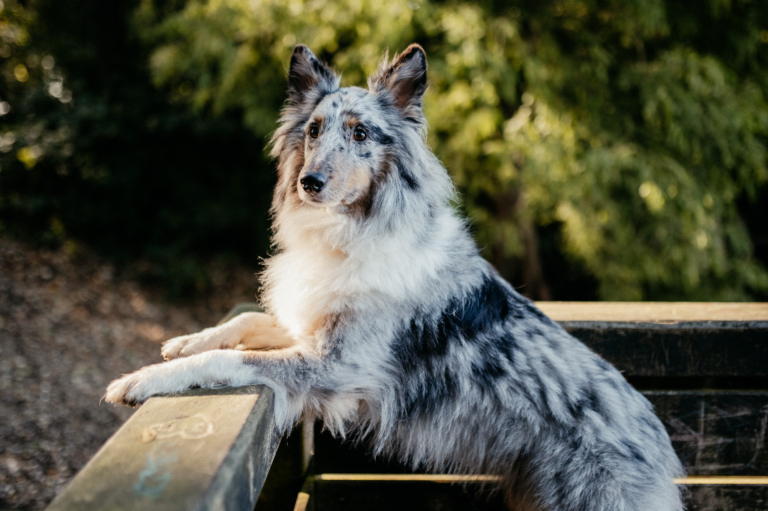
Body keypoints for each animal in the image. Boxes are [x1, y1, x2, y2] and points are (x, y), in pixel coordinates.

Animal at [106, 44, 684, 511]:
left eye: (360, 133)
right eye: (312, 130)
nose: (308, 182)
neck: (351, 231)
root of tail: (664, 455)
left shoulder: (335, 367)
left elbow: (228, 361)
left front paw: (141, 380)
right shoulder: (313, 326)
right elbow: (245, 321)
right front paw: (186, 340)